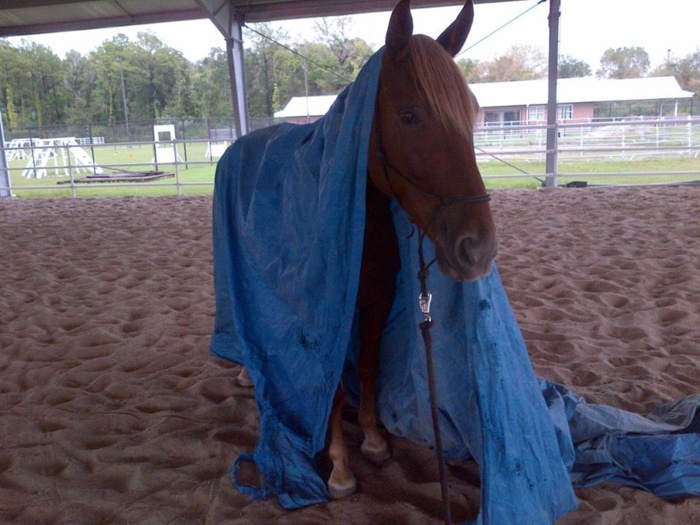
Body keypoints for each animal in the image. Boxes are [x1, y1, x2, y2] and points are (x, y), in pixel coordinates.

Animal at [241, 0, 498, 500]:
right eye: (409, 116)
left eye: (473, 112)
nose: (478, 248)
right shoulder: (331, 318)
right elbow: (335, 387)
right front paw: (340, 467)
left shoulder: (377, 303)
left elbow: (369, 369)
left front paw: (375, 438)